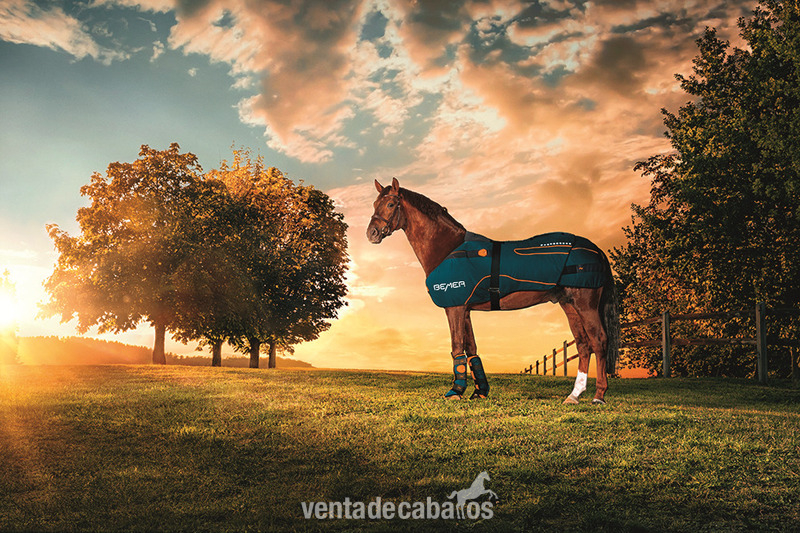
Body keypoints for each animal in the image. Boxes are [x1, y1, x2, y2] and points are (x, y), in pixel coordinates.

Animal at [366, 178, 619, 404]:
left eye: (391, 204)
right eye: (374, 204)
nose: (372, 233)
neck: (448, 248)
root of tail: (596, 249)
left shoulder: (454, 307)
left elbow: (457, 347)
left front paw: (456, 391)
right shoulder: (465, 309)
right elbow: (471, 350)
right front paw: (480, 391)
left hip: (585, 304)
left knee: (598, 341)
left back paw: (598, 395)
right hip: (569, 304)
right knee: (583, 344)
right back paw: (574, 396)